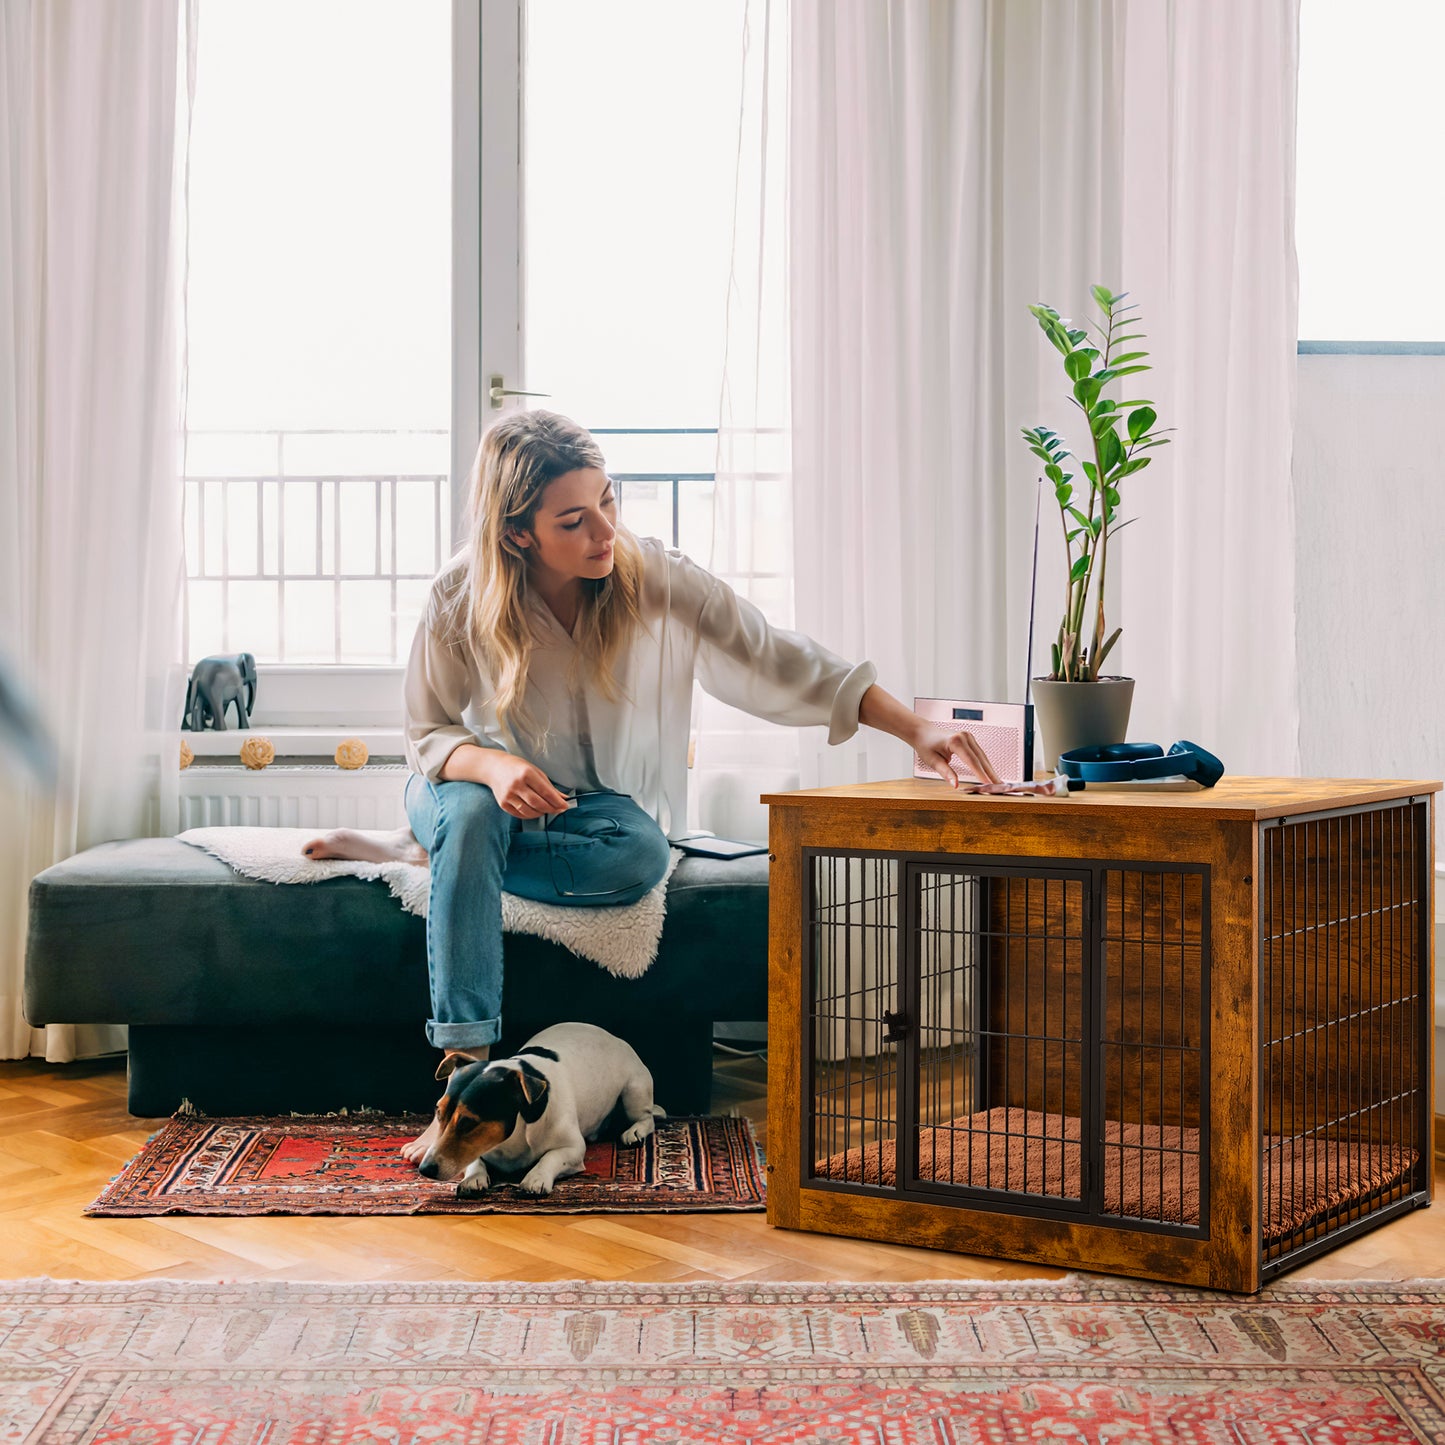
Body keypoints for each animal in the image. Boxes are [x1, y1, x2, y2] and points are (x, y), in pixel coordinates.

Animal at [419, 1017, 664, 1196]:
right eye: (439, 1113)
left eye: (469, 1122)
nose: (424, 1169)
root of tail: (616, 1038)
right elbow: (474, 1159)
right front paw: (474, 1177)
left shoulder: (573, 1148)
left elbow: (551, 1157)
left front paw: (535, 1178)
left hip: (633, 1092)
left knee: (647, 1118)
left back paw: (634, 1131)